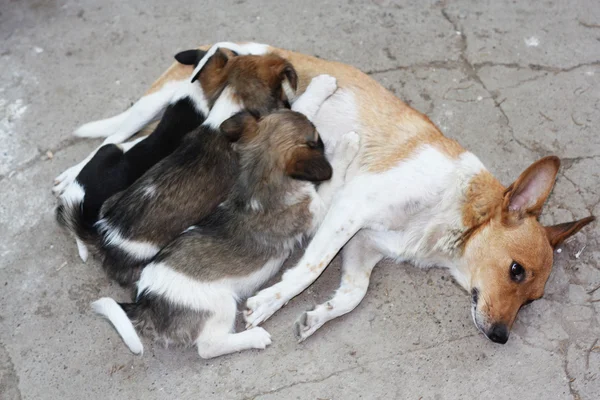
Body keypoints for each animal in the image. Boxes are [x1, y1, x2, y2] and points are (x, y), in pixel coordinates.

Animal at [58, 42, 592, 346]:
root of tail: (227, 44)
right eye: (515, 271)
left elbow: (353, 293)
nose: (501, 338)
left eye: (533, 301)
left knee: (124, 144)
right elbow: (310, 268)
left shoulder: (364, 244)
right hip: (163, 101)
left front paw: (317, 316)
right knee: (116, 136)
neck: (453, 218)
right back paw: (66, 184)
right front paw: (271, 302)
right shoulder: (351, 209)